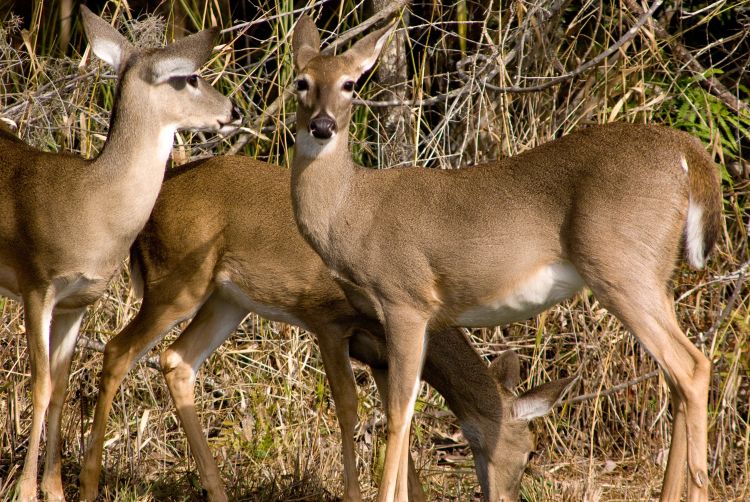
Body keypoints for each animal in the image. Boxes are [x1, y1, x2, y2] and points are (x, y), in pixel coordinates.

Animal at [0, 6, 238, 502]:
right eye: (188, 78)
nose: (233, 111)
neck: (91, 204)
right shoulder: (37, 283)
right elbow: (39, 385)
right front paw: (27, 491)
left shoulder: (77, 301)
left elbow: (62, 387)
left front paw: (56, 490)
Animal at [76, 154, 572, 502]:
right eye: (528, 452)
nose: (507, 497)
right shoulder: (328, 320)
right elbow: (349, 408)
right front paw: (354, 494)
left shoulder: (382, 353)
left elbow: (401, 419)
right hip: (177, 282)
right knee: (118, 350)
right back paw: (88, 484)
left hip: (226, 300)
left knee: (177, 360)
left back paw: (217, 491)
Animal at [290, 14, 724, 502]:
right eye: (301, 81)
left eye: (349, 84)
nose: (322, 125)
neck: (351, 212)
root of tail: (687, 153)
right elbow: (403, 410)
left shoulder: (405, 298)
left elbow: (399, 415)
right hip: (655, 273)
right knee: (675, 378)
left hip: (620, 265)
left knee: (692, 367)